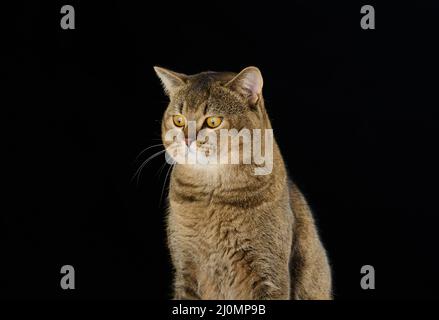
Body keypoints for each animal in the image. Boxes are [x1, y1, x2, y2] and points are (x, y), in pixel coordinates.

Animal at [155, 65, 334, 300]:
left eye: (213, 122)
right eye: (178, 120)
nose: (187, 140)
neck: (212, 197)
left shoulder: (269, 270)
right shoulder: (185, 268)